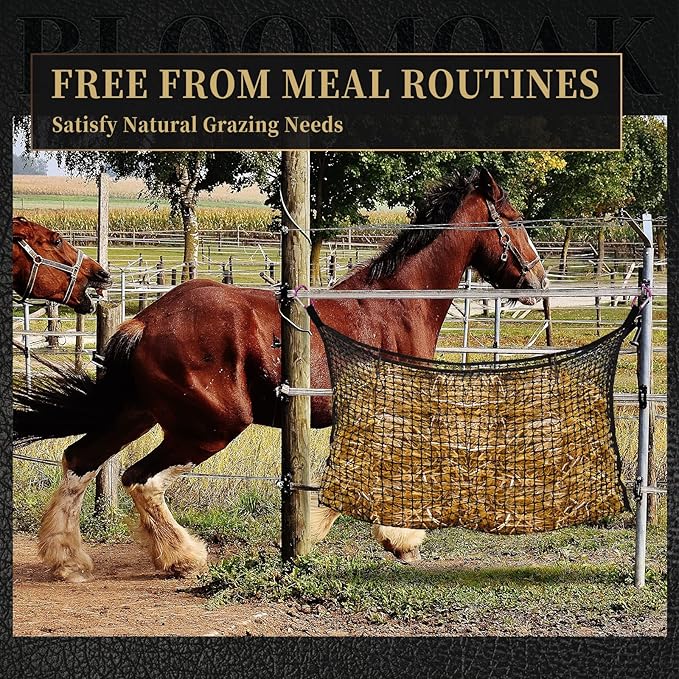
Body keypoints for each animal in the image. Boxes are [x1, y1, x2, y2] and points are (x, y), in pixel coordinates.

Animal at [14, 167, 548, 582]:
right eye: (515, 220)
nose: (538, 279)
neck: (393, 306)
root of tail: (144, 321)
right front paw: (391, 540)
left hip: (136, 415)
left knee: (79, 460)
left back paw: (67, 560)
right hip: (210, 427)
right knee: (140, 478)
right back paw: (183, 557)